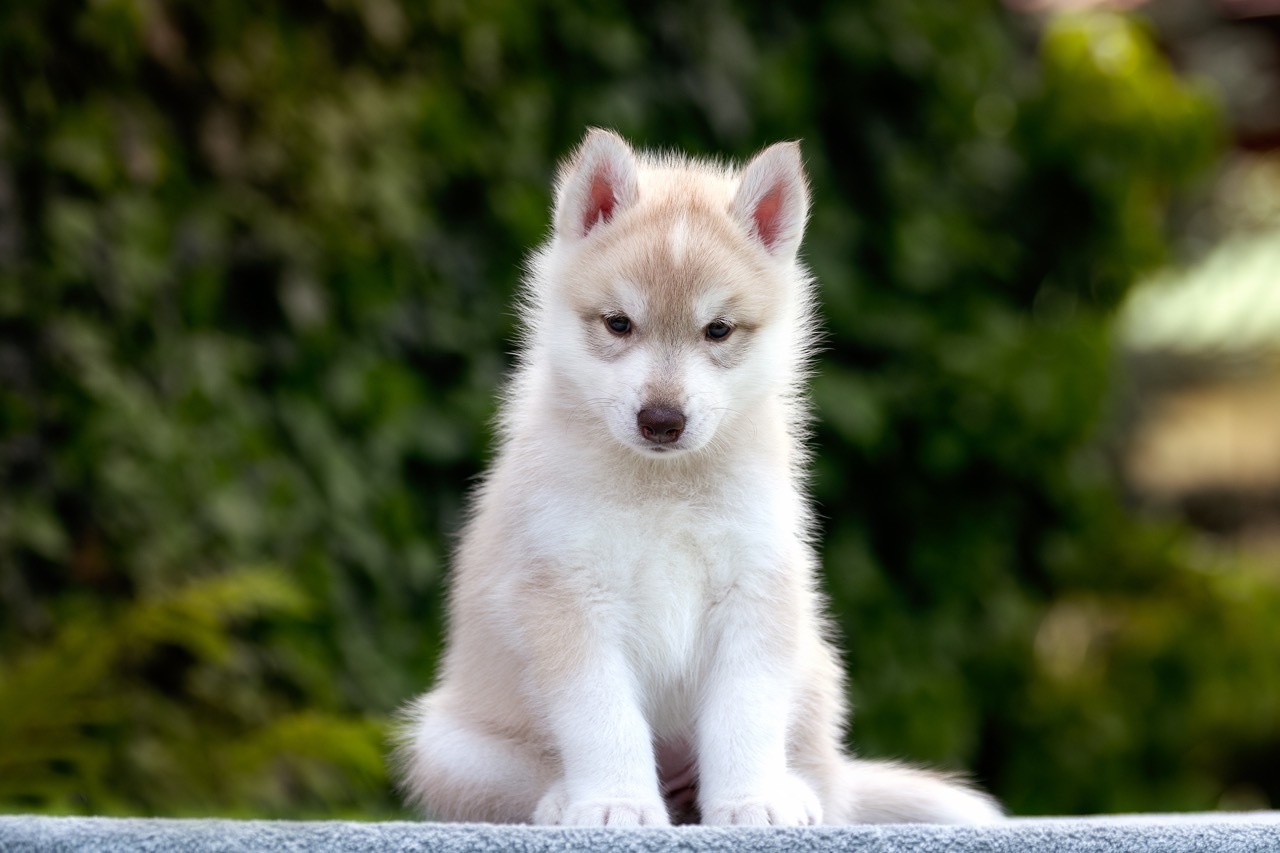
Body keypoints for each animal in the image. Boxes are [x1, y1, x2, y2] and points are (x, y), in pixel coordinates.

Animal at [394, 128, 1003, 824]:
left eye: (717, 330)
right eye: (619, 323)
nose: (662, 420)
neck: (666, 488)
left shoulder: (757, 588)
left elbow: (746, 717)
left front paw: (752, 802)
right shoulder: (566, 595)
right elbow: (604, 720)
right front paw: (615, 804)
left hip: (815, 669)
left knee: (829, 782)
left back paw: (789, 792)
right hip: (445, 745)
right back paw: (564, 800)